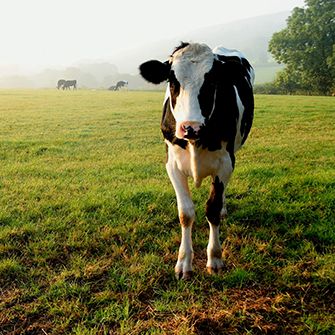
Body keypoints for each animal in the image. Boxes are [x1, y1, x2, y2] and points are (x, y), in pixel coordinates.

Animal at [140, 43, 256, 280]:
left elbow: (213, 208)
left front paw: (215, 258)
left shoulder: (225, 163)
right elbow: (185, 213)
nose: (190, 127)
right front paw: (184, 262)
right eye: (172, 81)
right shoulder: (172, 165)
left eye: (212, 82)